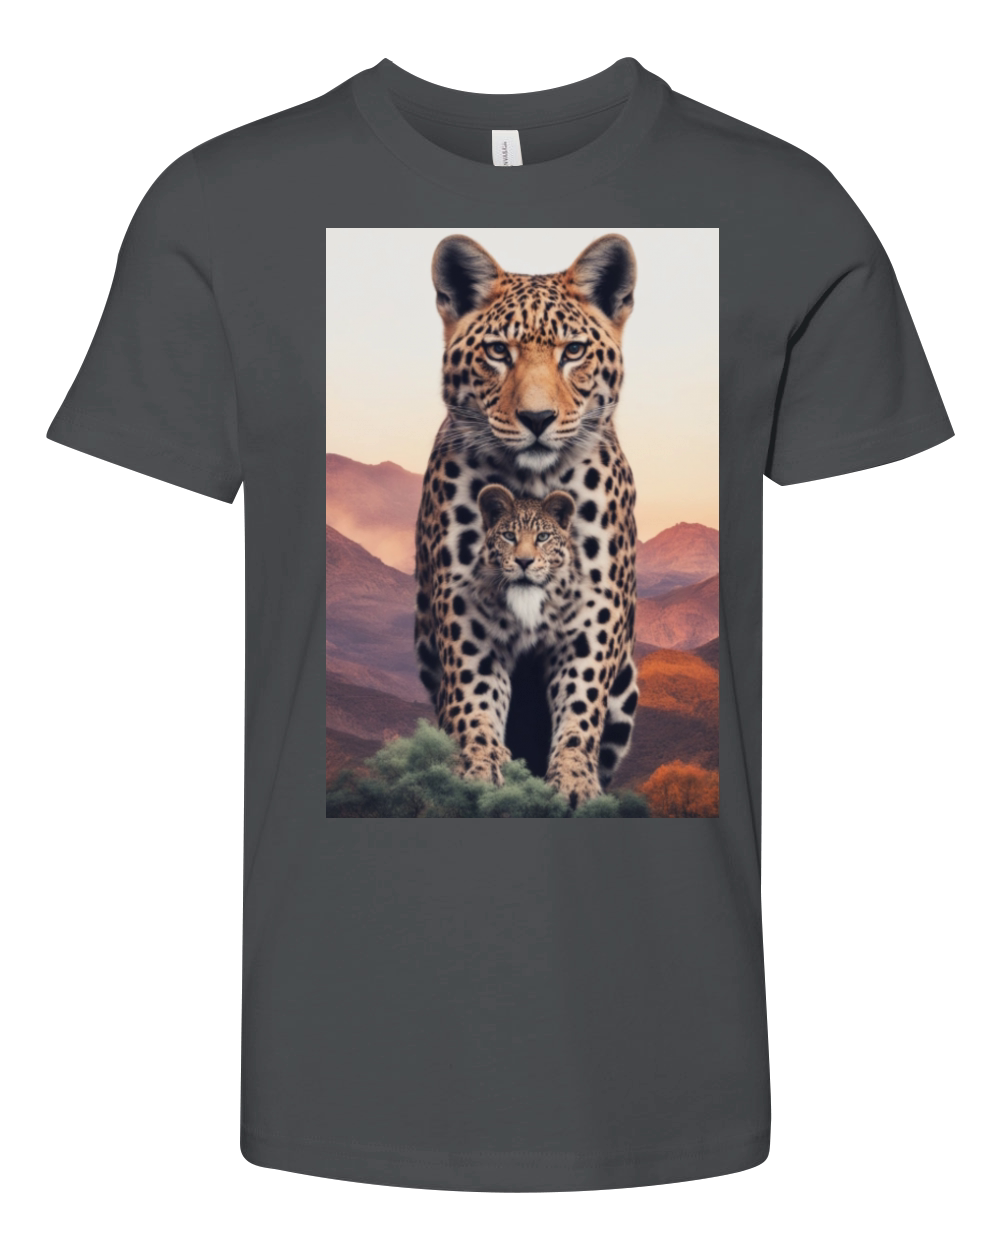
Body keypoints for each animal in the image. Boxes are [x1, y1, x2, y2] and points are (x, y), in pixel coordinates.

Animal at [414, 232, 640, 809]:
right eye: (498, 351)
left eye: (573, 351)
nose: (537, 419)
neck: (532, 485)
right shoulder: (464, 605)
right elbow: (473, 696)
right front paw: (477, 770)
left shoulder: (595, 612)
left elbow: (581, 703)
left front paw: (575, 783)